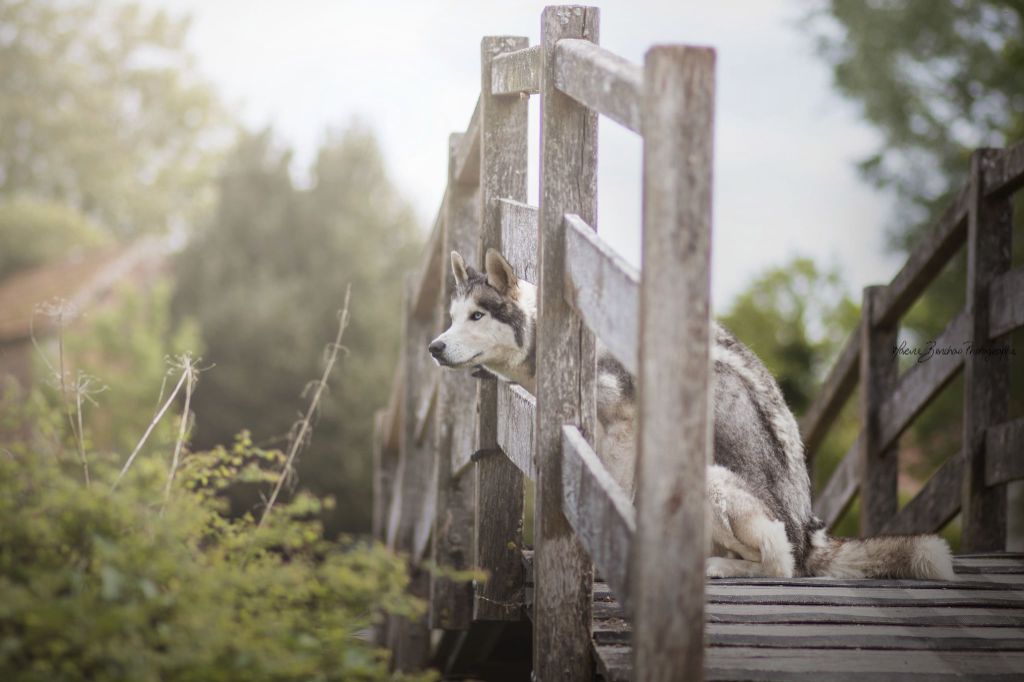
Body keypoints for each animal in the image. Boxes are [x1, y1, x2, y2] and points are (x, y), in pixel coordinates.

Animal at [428, 246, 954, 577]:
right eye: (452, 318)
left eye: (478, 316)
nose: (435, 347)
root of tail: (811, 534)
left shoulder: (625, 429)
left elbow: (613, 492)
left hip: (713, 481)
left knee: (781, 563)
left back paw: (719, 567)